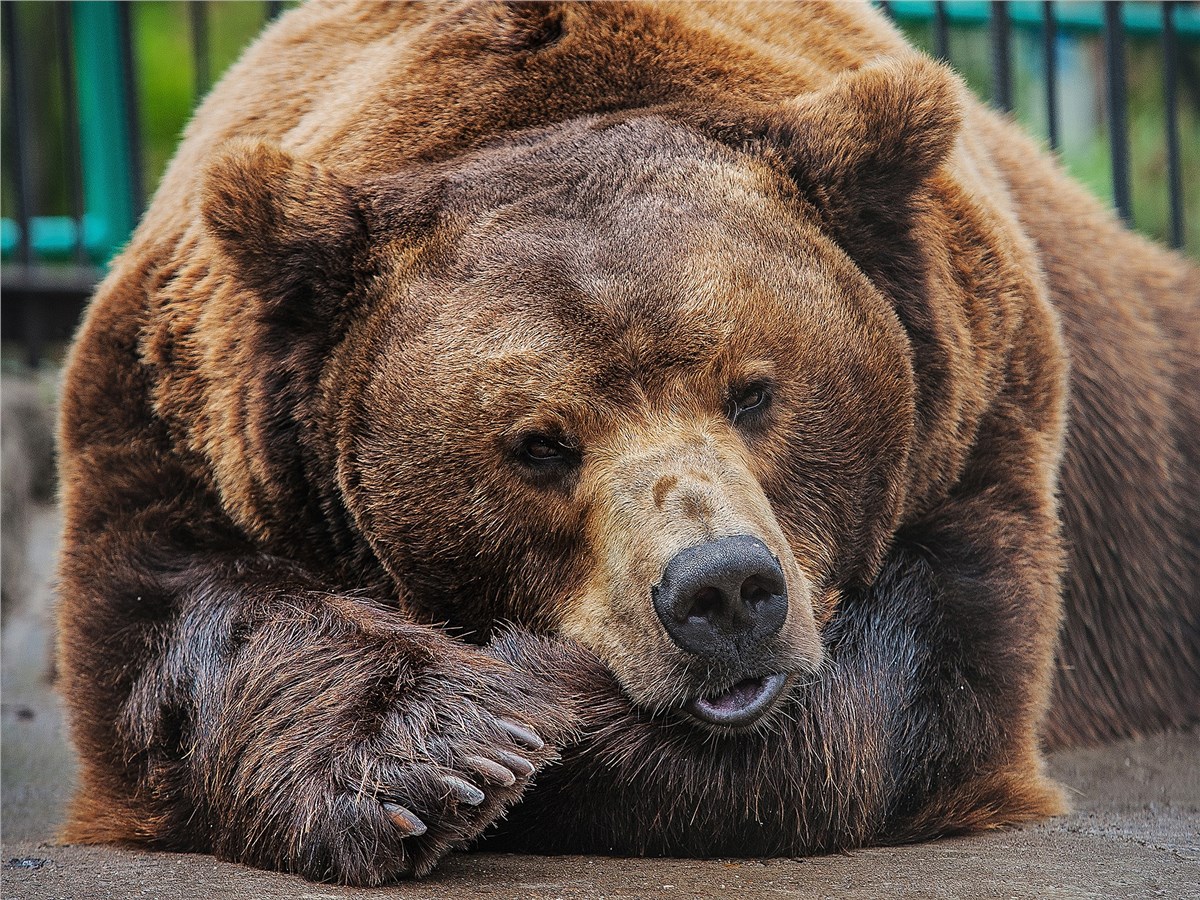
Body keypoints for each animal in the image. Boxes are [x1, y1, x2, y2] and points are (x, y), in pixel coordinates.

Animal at [51, 0, 1195, 888]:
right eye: (540, 444)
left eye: (754, 391)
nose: (723, 590)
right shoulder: (177, 426)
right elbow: (171, 625)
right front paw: (445, 756)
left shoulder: (977, 430)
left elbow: (886, 703)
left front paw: (545, 700)